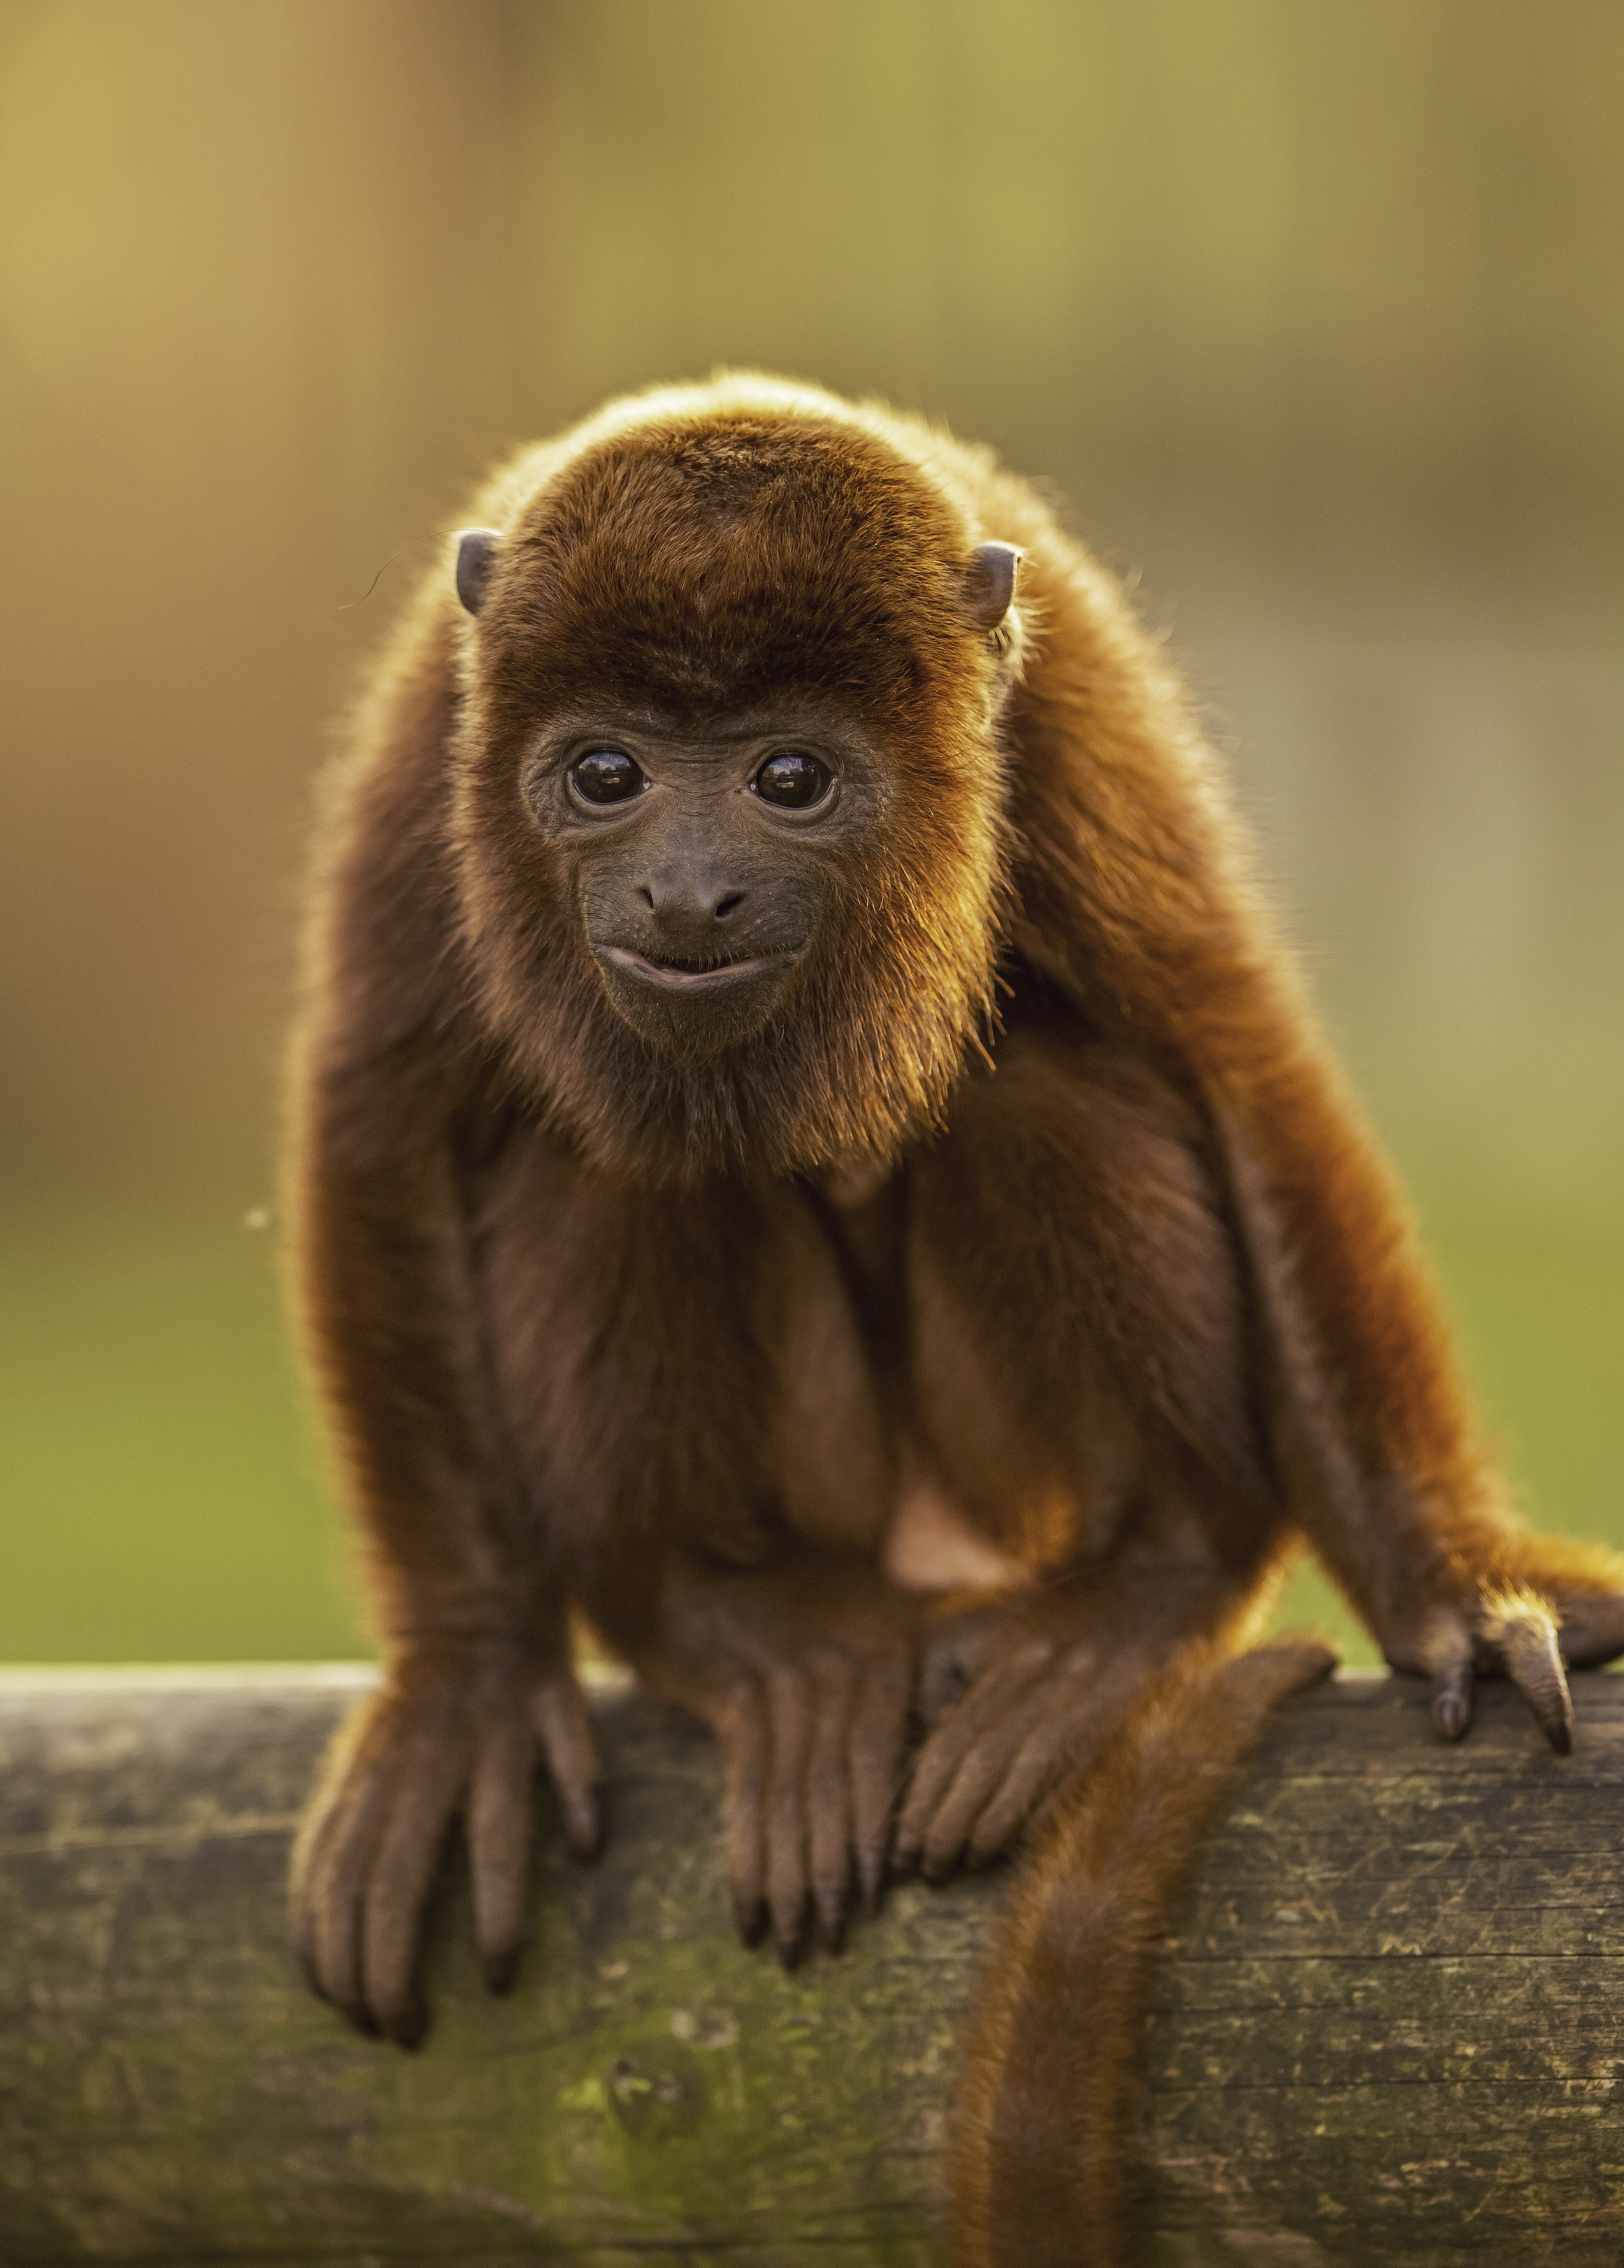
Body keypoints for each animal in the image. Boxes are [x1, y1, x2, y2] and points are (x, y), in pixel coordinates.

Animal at [286, 373, 1624, 2261]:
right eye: (605, 776)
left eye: (789, 778)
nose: (683, 891)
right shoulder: (433, 730)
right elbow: (383, 1111)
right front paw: (470, 1688)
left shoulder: (1071, 711)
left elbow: (1228, 1052)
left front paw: (1453, 1581)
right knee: (608, 1159)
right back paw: (745, 1628)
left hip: (996, 1481)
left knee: (1032, 1086)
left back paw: (1134, 1591)